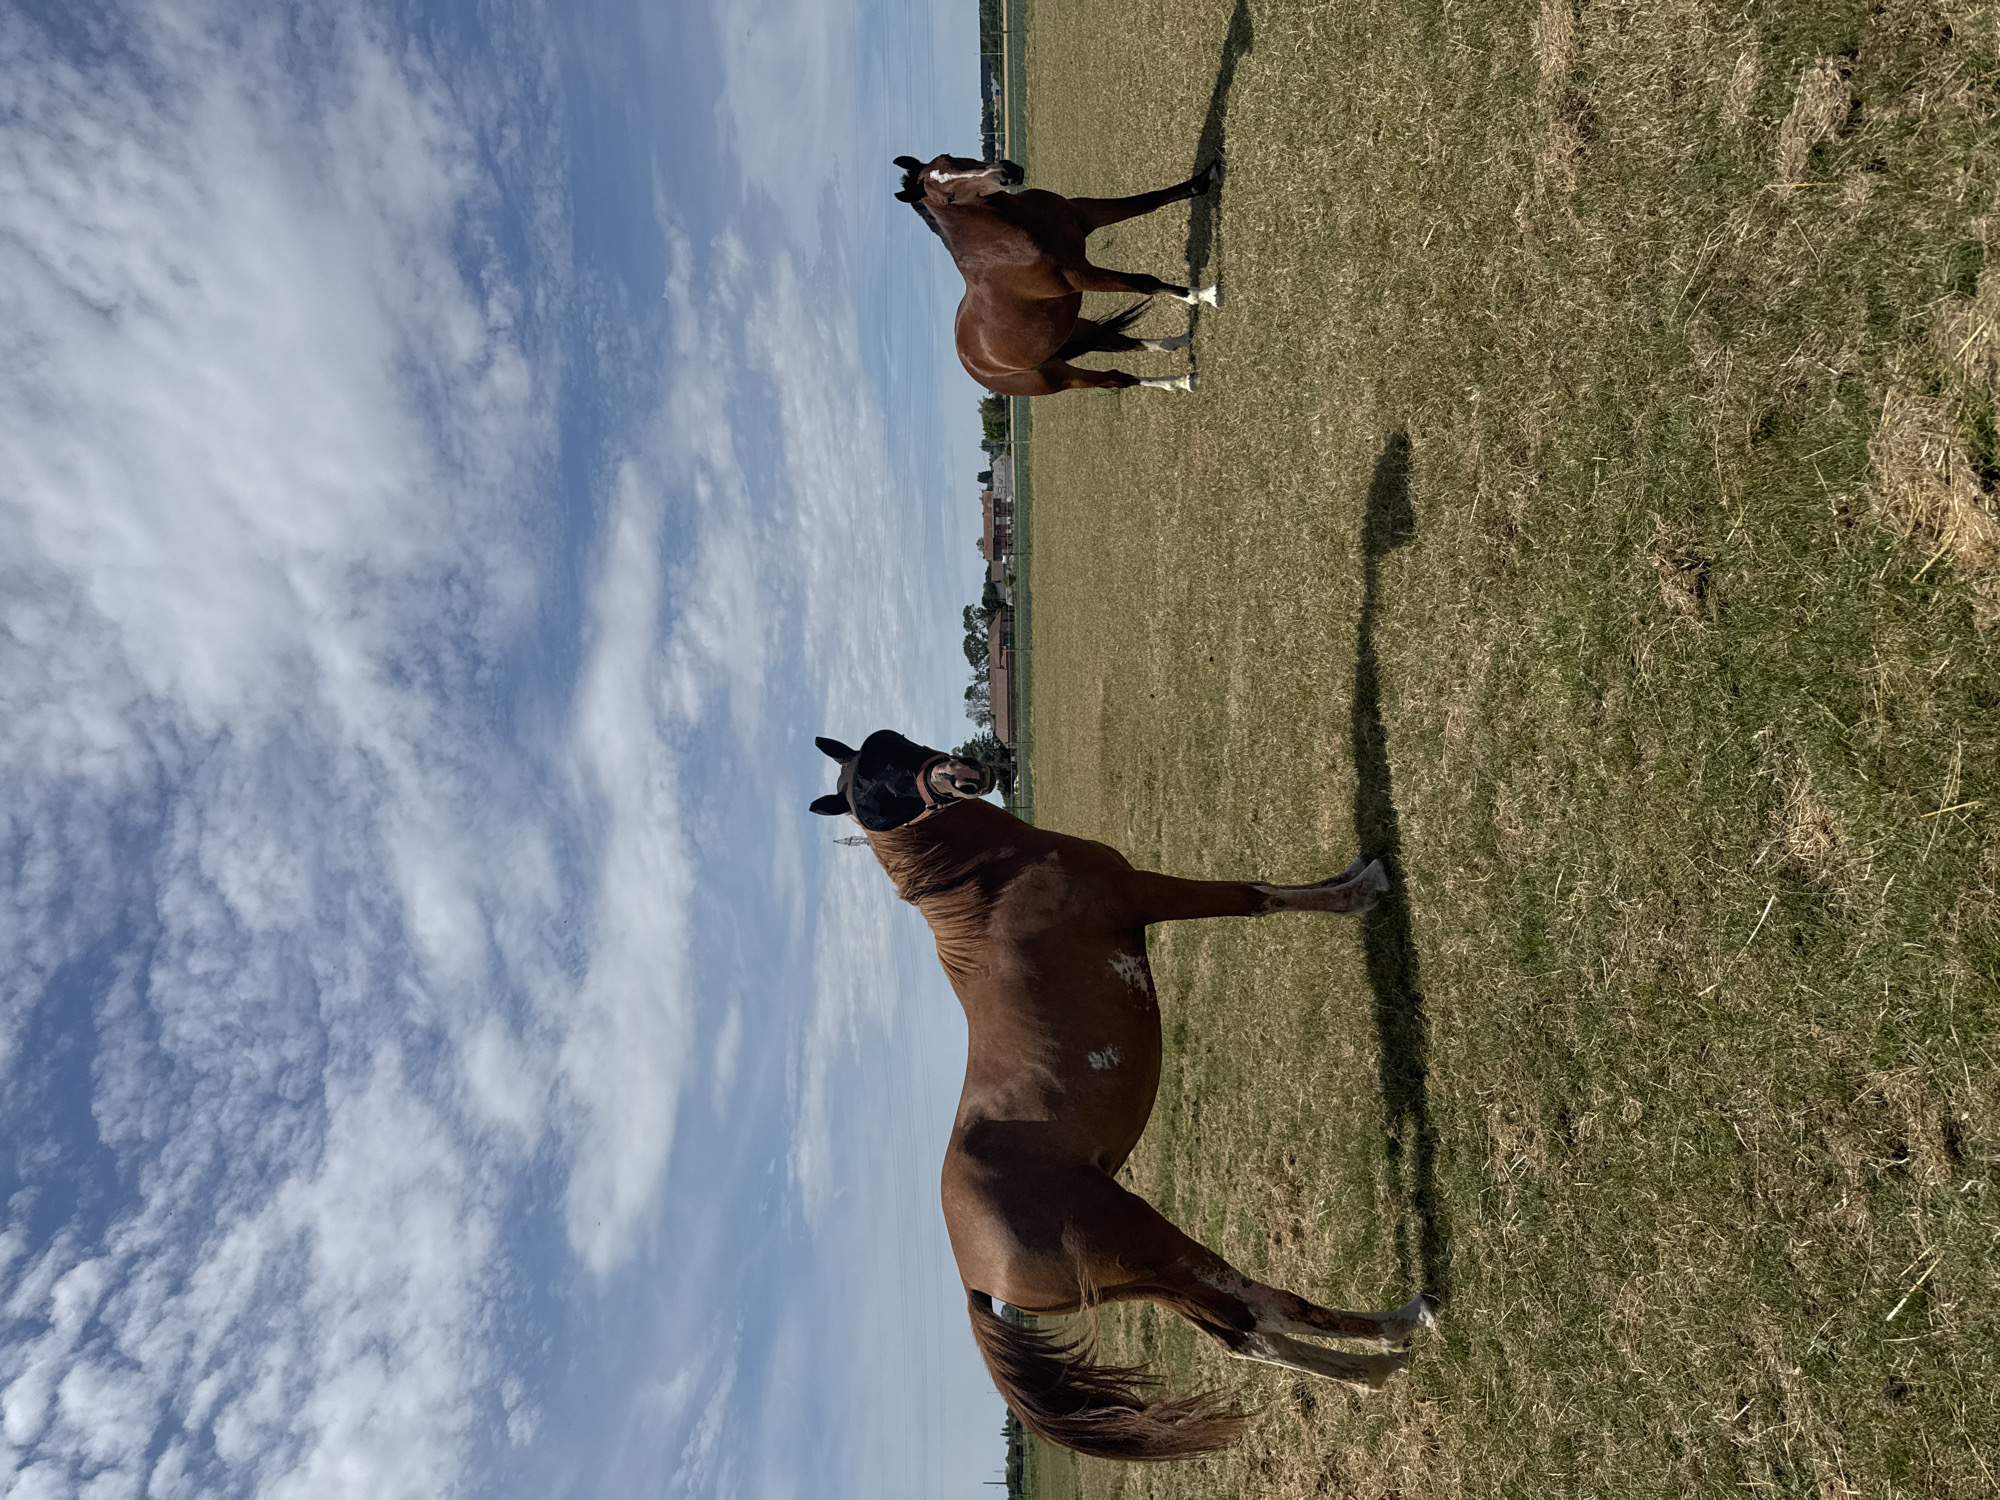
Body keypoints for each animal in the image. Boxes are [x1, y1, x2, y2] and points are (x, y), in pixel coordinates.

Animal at [810, 730, 1437, 1461]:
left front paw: (1357, 870)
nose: (963, 773)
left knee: (1246, 1334)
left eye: (894, 746)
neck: (993, 888)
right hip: (1151, 1245)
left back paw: (1374, 1367)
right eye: (875, 789)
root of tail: (975, 1274)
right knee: (1260, 1311)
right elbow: (1254, 895)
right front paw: (1364, 889)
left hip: (1139, 1279)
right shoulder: (1147, 894)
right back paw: (1401, 1325)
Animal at [893, 152, 1224, 397]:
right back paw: (1180, 381)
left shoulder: (1083, 214)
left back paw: (1178, 347)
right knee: (1116, 378)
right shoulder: (1077, 275)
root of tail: (975, 366)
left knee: (1121, 343)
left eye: (948, 156)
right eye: (948, 197)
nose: (1007, 172)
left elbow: (1147, 201)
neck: (1005, 238)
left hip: (1075, 328)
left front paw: (1207, 177)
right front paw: (1205, 295)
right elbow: (1145, 283)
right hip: (1061, 378)